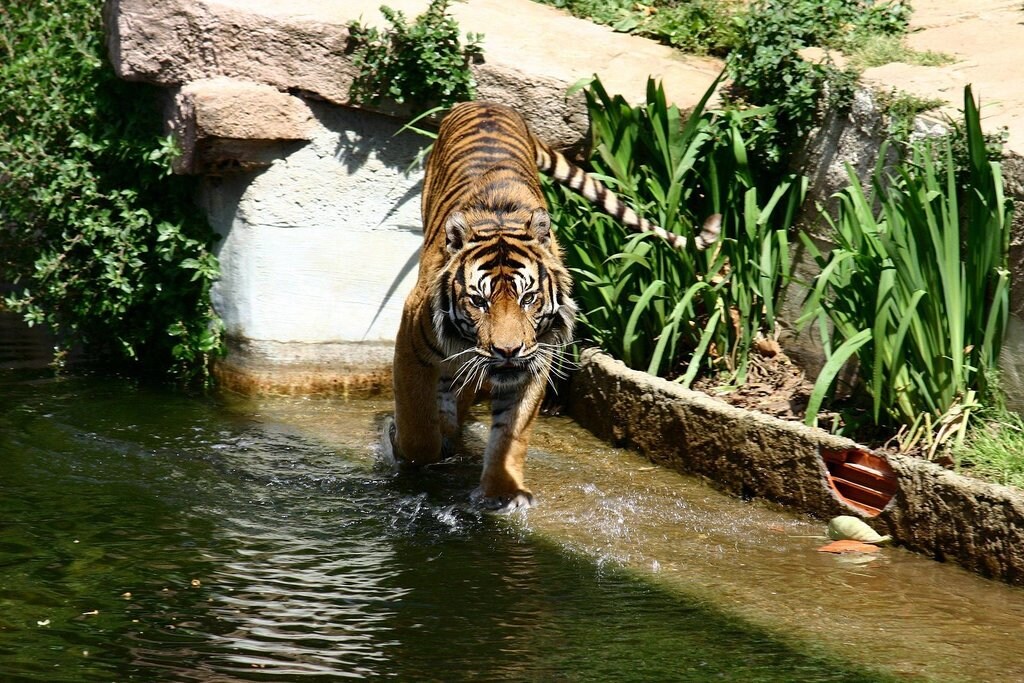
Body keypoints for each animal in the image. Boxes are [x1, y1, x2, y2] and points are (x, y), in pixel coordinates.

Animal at [391, 101, 720, 511]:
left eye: (528, 299)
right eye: (478, 302)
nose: (506, 351)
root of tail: (488, 103)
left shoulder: (534, 359)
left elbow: (511, 434)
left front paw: (503, 491)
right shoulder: (412, 344)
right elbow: (417, 426)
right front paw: (409, 451)